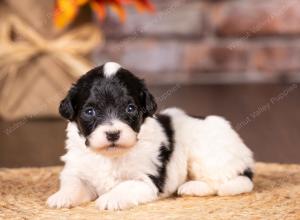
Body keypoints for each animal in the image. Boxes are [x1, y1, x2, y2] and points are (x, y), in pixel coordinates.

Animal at [47, 62, 253, 211]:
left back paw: (192, 187)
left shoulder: (145, 180)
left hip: (207, 156)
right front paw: (61, 197)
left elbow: (125, 185)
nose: (113, 134)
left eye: (130, 109)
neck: (110, 156)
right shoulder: (77, 170)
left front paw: (110, 198)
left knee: (219, 182)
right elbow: (73, 183)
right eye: (90, 112)